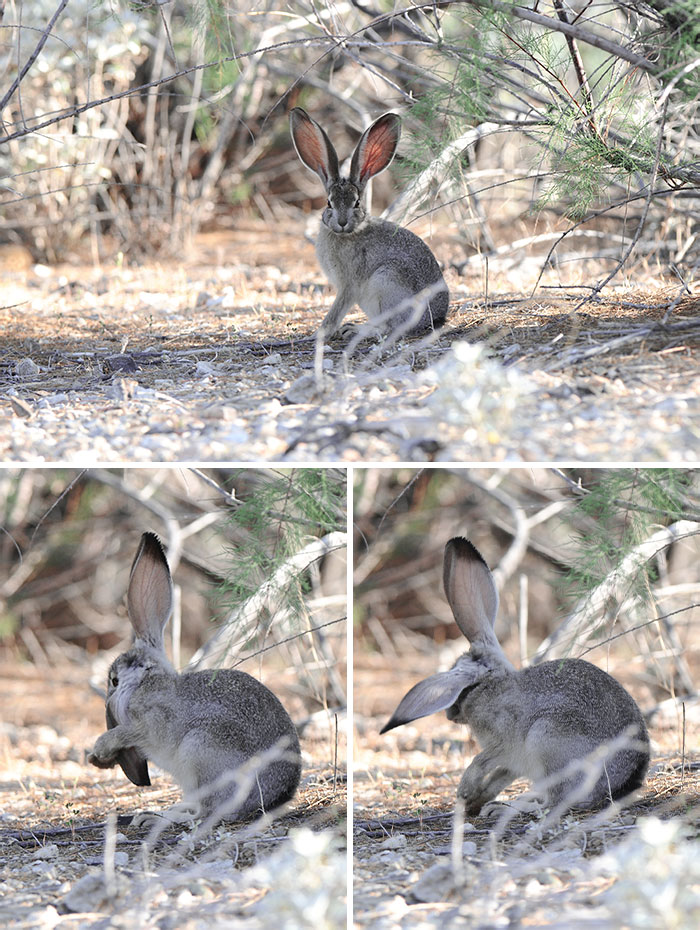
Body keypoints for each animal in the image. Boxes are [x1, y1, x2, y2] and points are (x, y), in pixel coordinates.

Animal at [88, 532, 301, 824]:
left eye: (113, 680)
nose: (110, 692)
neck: (146, 680)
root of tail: (272, 798)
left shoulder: (150, 722)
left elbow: (128, 732)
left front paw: (100, 747)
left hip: (199, 751)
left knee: (207, 812)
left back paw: (159, 818)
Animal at [289, 107, 449, 338]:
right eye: (329, 203)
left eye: (356, 203)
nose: (342, 222)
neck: (347, 233)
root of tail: (435, 317)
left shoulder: (348, 285)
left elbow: (337, 309)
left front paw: (320, 333)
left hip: (387, 281)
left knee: (390, 327)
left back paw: (356, 329)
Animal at [381, 537, 650, 816]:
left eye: (465, 691)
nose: (450, 716)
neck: (491, 687)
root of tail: (625, 778)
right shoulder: (513, 762)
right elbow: (500, 775)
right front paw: (475, 799)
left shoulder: (504, 742)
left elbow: (481, 761)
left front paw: (465, 791)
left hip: (547, 738)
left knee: (556, 802)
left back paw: (506, 809)